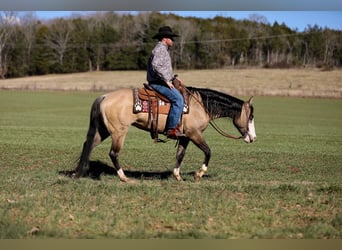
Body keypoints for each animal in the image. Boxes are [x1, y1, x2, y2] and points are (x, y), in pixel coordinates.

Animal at [75, 85, 256, 183]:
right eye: (251, 116)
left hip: (103, 130)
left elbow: (180, 155)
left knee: (88, 145)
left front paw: (178, 176)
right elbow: (208, 151)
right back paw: (124, 177)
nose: (253, 138)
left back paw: (79, 172)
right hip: (119, 132)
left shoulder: (185, 137)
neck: (201, 105)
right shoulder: (195, 134)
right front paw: (198, 174)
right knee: (113, 153)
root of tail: (104, 96)